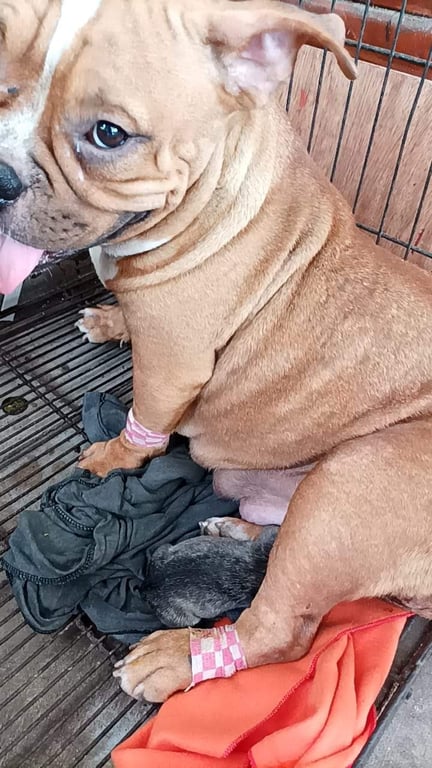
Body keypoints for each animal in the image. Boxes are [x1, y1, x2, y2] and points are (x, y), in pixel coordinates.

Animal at [0, 0, 432, 704]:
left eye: (109, 135)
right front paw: (111, 320)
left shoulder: (172, 365)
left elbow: (142, 427)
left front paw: (111, 455)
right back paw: (235, 529)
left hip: (352, 478)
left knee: (282, 632)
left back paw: (178, 658)